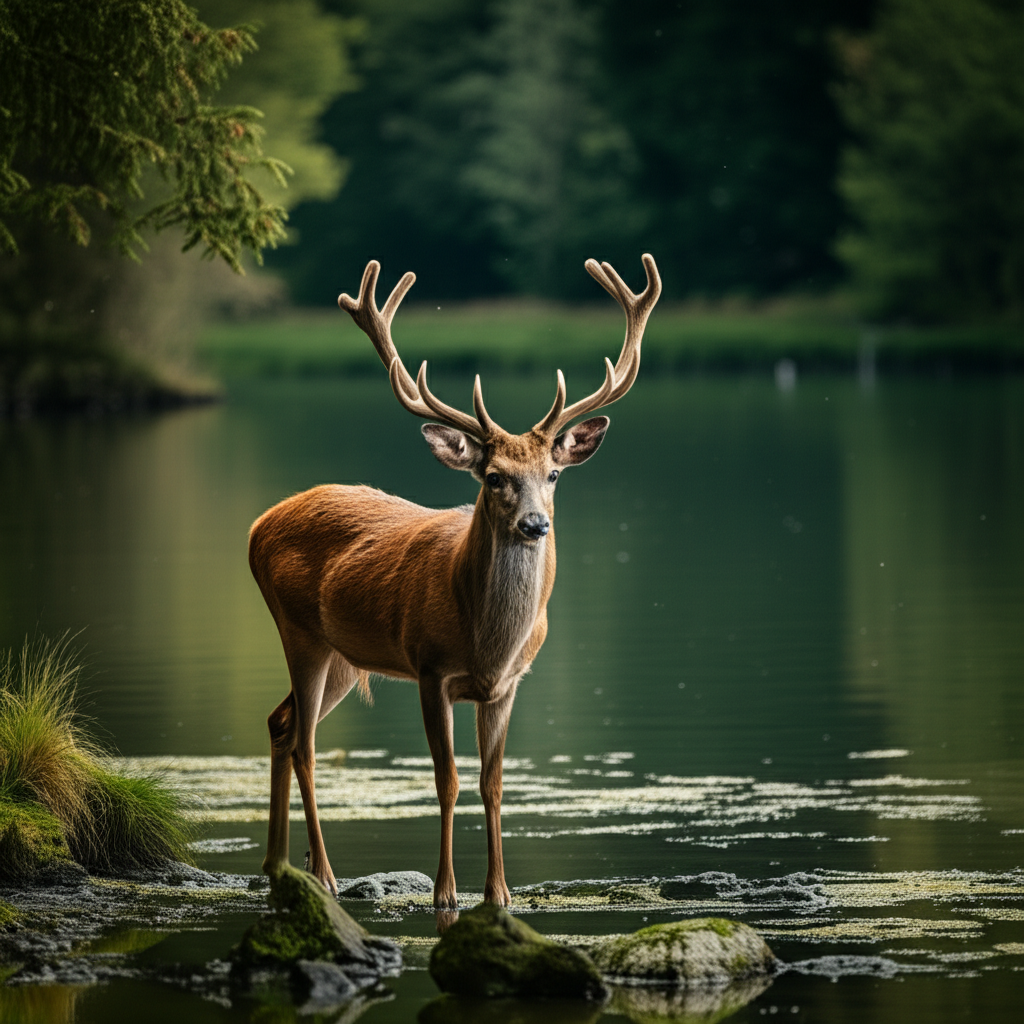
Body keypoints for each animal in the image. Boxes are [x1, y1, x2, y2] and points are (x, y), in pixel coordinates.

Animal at [248, 253, 661, 908]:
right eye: (493, 477)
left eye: (553, 474)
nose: (535, 524)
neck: (486, 641)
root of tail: (257, 525)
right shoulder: (429, 667)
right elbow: (447, 780)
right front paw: (444, 891)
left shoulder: (509, 684)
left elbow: (493, 783)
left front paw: (499, 891)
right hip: (299, 631)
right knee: (307, 745)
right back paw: (326, 875)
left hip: (343, 657)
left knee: (281, 722)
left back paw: (278, 864)